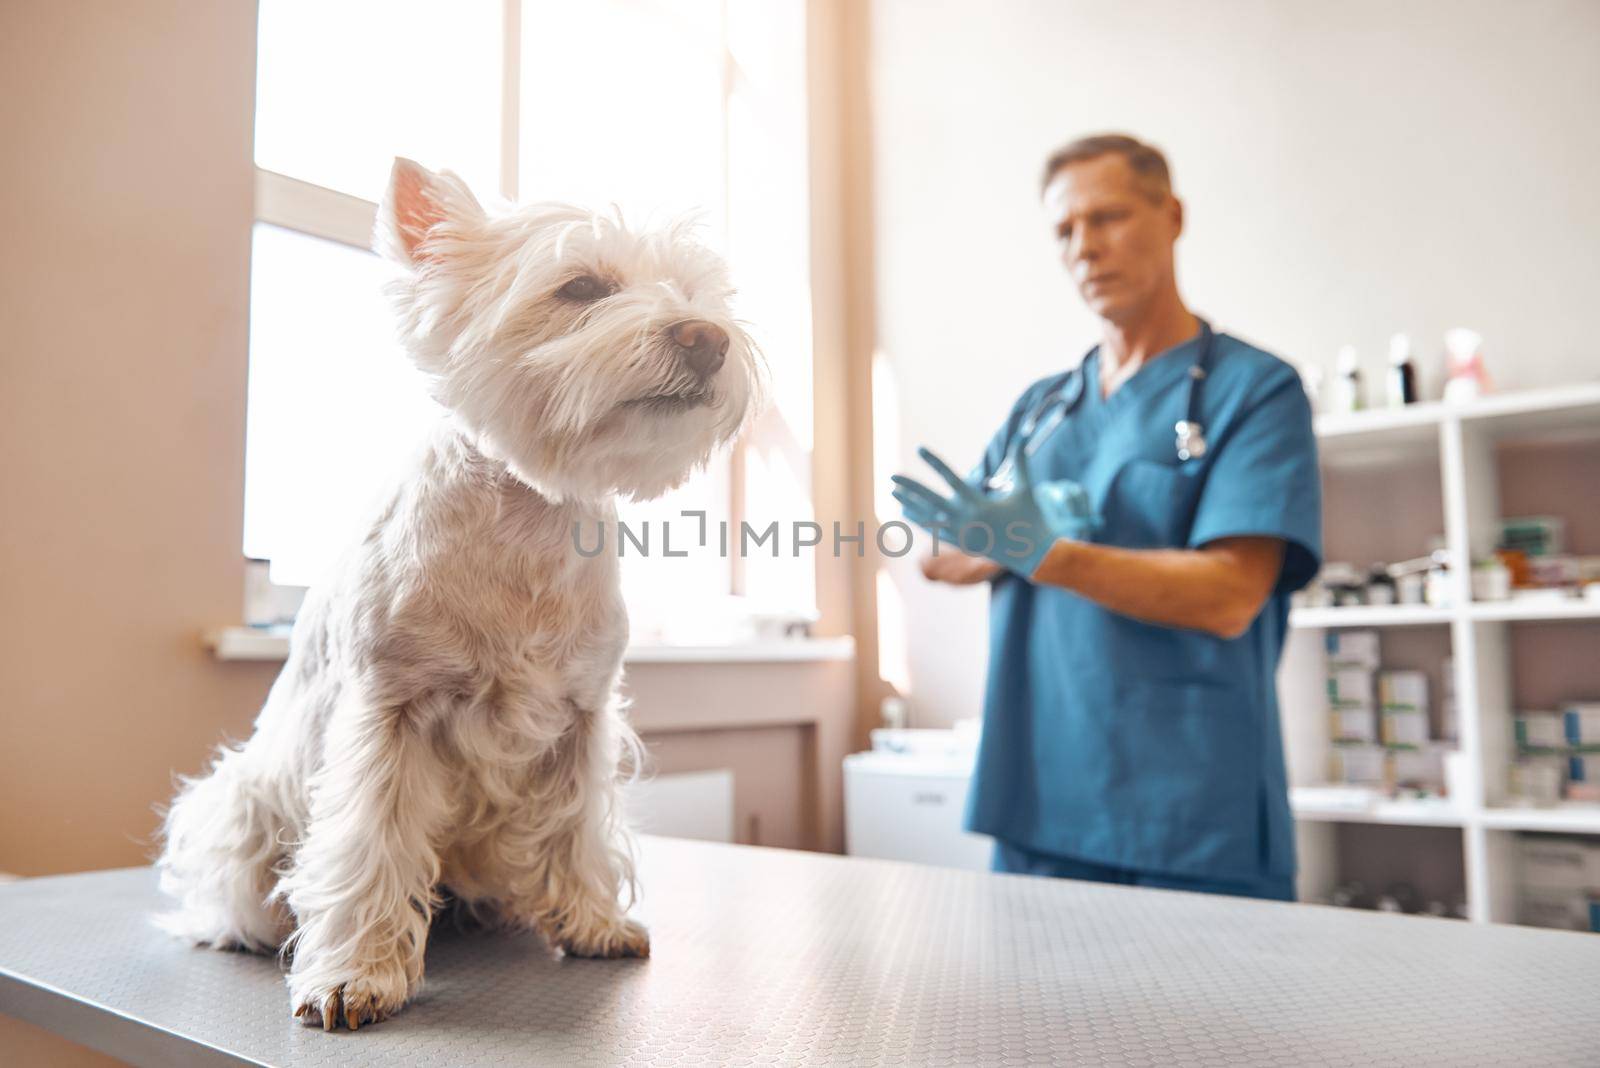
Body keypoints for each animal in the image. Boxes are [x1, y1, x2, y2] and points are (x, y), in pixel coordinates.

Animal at [156, 156, 761, 1023]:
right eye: (581, 287)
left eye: (691, 291)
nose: (707, 337)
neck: (530, 521)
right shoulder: (391, 714)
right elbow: (370, 842)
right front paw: (356, 975)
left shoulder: (581, 718)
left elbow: (577, 824)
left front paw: (592, 920)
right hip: (239, 803)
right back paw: (246, 930)